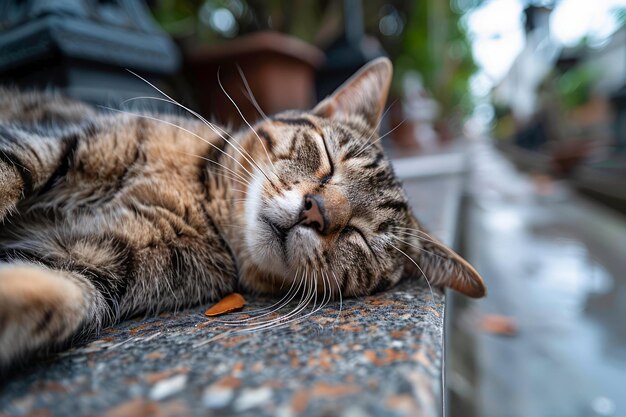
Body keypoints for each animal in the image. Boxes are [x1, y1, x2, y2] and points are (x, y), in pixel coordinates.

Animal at [0, 57, 482, 368]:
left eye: (361, 236)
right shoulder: (59, 143)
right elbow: (12, 171)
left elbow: (61, 295)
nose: (317, 212)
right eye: (328, 158)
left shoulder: (100, 259)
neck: (200, 202)